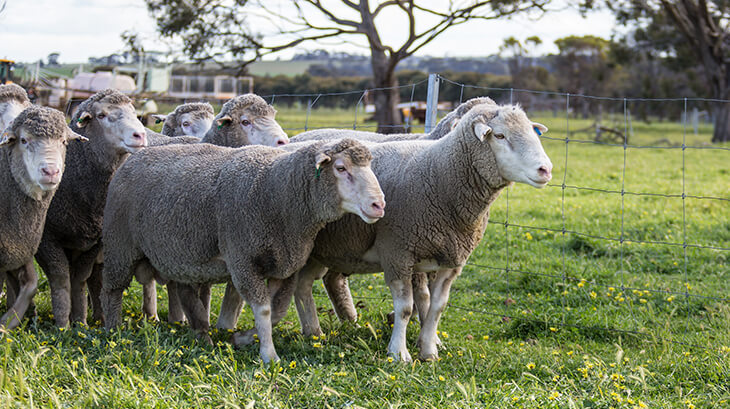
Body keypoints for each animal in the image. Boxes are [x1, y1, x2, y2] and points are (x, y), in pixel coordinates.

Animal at [0, 106, 87, 329]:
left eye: (64, 142)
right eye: (23, 140)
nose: (50, 171)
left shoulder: (20, 244)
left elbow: (31, 284)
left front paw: (8, 322)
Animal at [33, 89, 150, 327]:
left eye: (134, 112)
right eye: (102, 115)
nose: (140, 135)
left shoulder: (94, 241)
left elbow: (81, 278)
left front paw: (80, 321)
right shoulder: (46, 239)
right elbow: (61, 277)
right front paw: (63, 324)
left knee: (96, 277)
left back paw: (99, 315)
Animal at [101, 139, 385, 363]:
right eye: (341, 168)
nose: (379, 204)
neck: (277, 192)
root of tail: (133, 159)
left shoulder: (284, 265)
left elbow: (277, 311)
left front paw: (241, 339)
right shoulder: (243, 260)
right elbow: (264, 310)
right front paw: (269, 356)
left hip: (180, 256)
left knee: (184, 291)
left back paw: (202, 333)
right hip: (120, 246)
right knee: (112, 290)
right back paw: (113, 330)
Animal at [280, 103, 552, 361]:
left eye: (532, 132)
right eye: (499, 135)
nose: (546, 169)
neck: (440, 175)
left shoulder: (450, 261)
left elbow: (436, 307)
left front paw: (429, 351)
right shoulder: (398, 253)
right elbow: (406, 308)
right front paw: (399, 353)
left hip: (323, 249)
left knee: (306, 284)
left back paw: (315, 332)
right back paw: (315, 332)